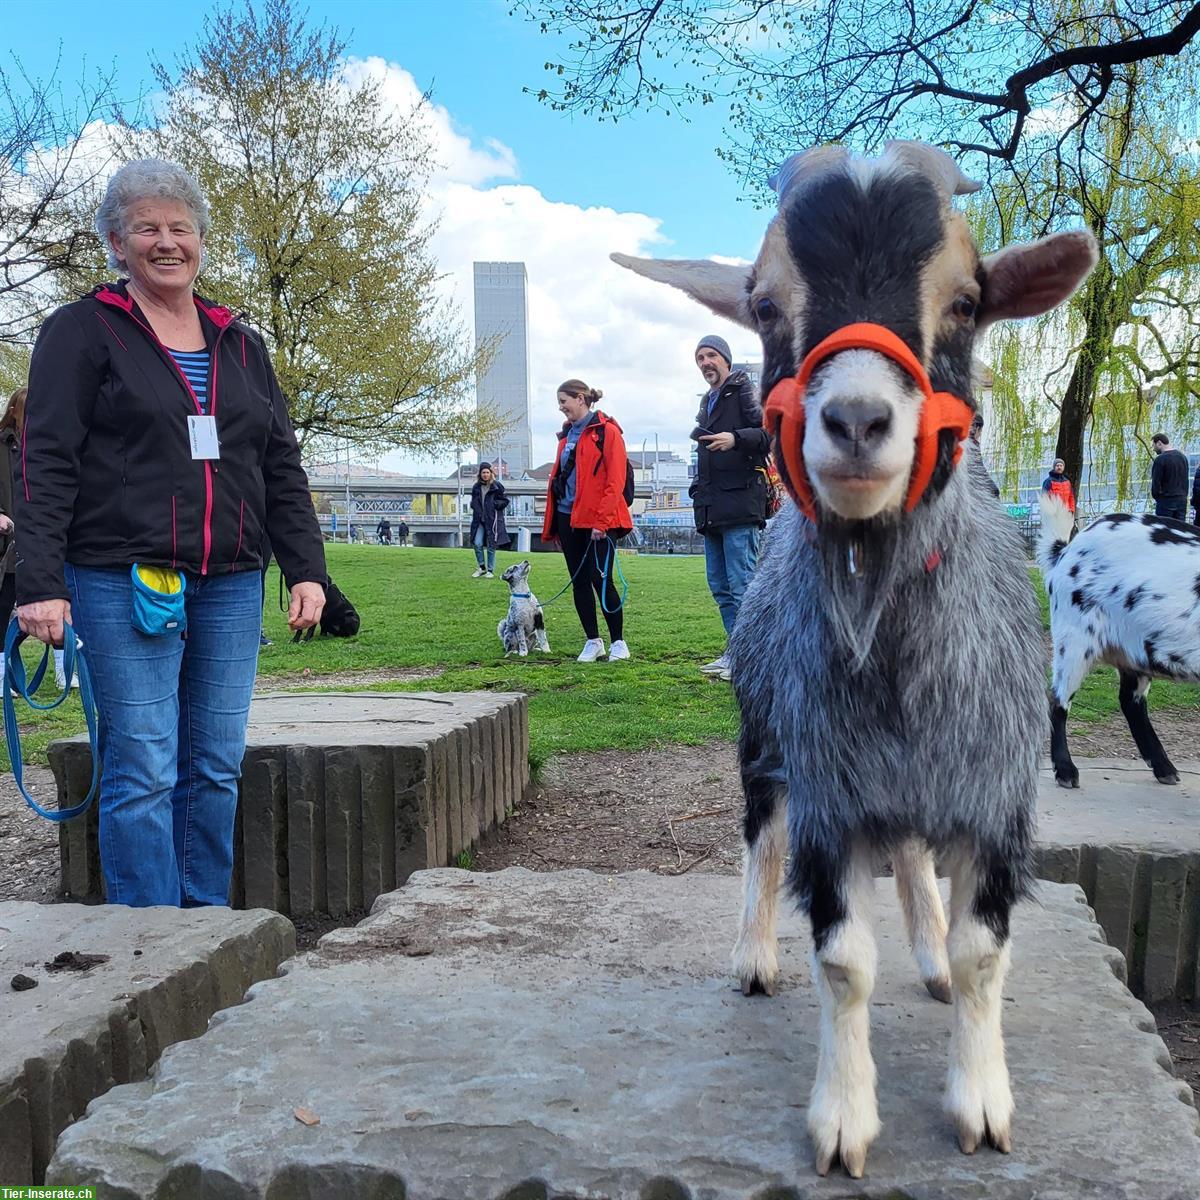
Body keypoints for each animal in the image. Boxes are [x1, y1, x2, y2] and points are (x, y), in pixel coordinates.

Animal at [619, 142, 1099, 1180]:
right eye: (764, 304)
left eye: (968, 300)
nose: (856, 422)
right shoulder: (829, 789)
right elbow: (841, 959)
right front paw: (842, 1122)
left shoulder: (997, 792)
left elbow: (983, 954)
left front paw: (982, 1104)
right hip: (766, 735)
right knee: (760, 837)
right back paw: (754, 958)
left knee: (914, 854)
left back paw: (926, 953)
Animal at [1041, 494, 1200, 787]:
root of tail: (1067, 550)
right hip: (1075, 638)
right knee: (1057, 699)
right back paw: (1066, 770)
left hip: (1135, 650)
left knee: (1131, 702)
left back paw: (1164, 768)